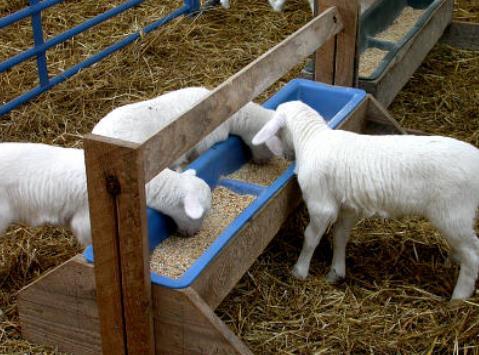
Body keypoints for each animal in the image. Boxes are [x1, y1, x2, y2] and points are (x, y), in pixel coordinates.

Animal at [256, 100, 479, 300]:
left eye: (279, 132)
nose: (286, 156)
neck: (312, 138)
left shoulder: (321, 205)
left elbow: (311, 237)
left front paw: (299, 271)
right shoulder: (349, 208)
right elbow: (340, 236)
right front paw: (336, 272)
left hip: (453, 212)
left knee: (472, 254)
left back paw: (459, 298)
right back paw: (452, 261)